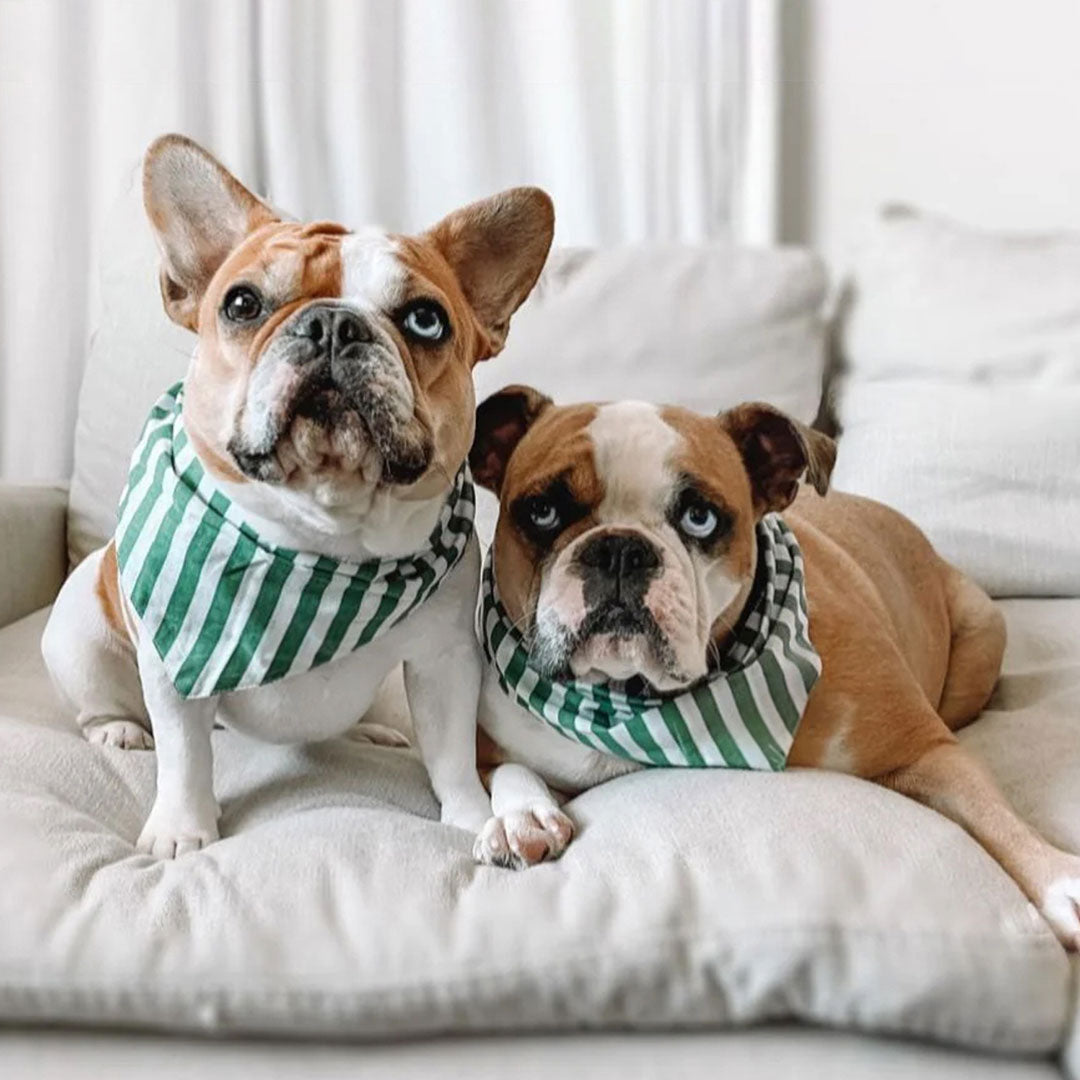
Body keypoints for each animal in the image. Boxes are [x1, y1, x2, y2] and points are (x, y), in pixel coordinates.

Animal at [42, 137, 552, 859]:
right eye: (242, 304)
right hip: (82, 637)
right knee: (105, 707)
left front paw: (472, 815)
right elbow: (184, 757)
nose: (335, 324)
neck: (325, 537)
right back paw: (118, 730)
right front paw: (181, 830)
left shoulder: (444, 662)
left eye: (425, 320)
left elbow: (451, 752)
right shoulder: (173, 664)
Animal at [468, 388, 1080, 946]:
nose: (620, 548)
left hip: (981, 631)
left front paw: (1059, 879)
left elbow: (993, 813)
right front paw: (522, 817)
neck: (635, 699)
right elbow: (506, 768)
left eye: (699, 517)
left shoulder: (927, 750)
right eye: (543, 512)